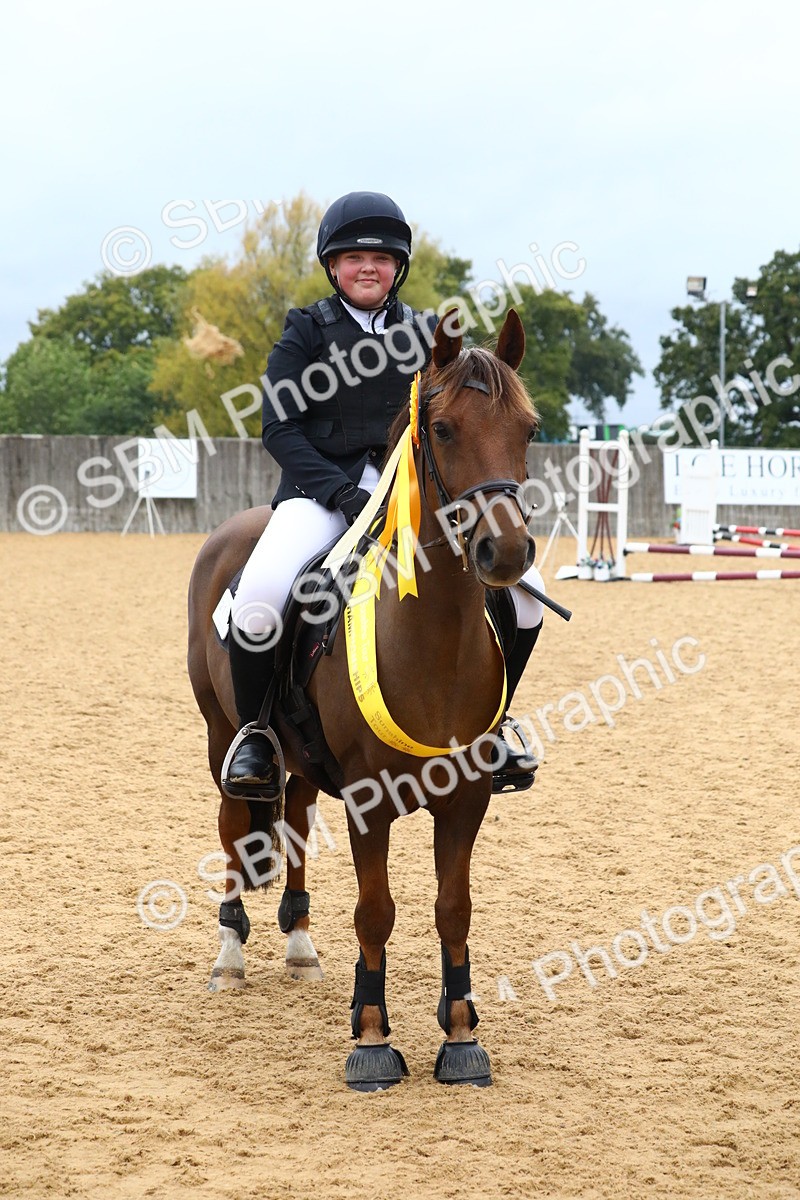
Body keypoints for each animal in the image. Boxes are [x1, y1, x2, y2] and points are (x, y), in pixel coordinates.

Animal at [187, 308, 539, 1090]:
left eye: (529, 428)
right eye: (444, 429)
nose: (506, 554)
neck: (433, 642)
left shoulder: (467, 796)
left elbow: (453, 908)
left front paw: (461, 1036)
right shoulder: (368, 801)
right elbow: (376, 912)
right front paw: (373, 1039)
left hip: (298, 759)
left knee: (290, 815)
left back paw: (299, 945)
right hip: (220, 732)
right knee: (234, 824)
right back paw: (230, 957)